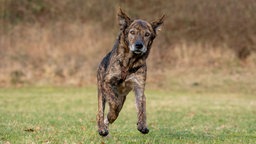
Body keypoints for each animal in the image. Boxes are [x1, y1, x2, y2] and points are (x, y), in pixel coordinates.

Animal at [96, 8, 164, 137]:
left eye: (147, 34)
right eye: (132, 32)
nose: (139, 45)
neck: (130, 62)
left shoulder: (139, 87)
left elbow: (142, 108)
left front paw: (142, 125)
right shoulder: (107, 83)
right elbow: (113, 105)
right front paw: (110, 116)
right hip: (101, 92)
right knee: (100, 112)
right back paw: (102, 128)